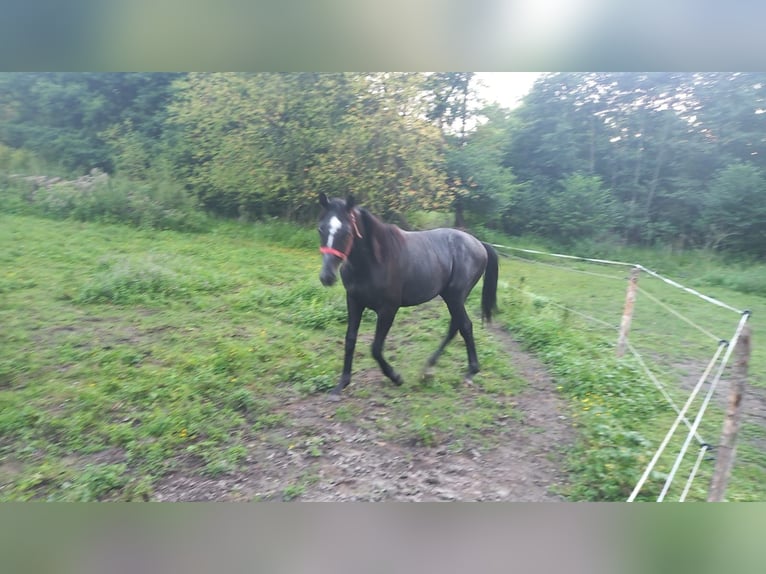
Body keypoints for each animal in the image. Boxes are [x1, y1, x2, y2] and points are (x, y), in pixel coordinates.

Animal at [316, 194, 500, 400]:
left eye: (347, 231)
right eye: (321, 228)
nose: (327, 276)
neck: (376, 260)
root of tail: (479, 244)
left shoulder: (388, 309)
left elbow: (376, 348)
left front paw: (396, 377)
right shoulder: (354, 302)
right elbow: (350, 340)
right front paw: (342, 384)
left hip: (455, 297)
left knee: (466, 326)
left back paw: (470, 372)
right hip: (452, 297)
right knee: (456, 326)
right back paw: (429, 367)